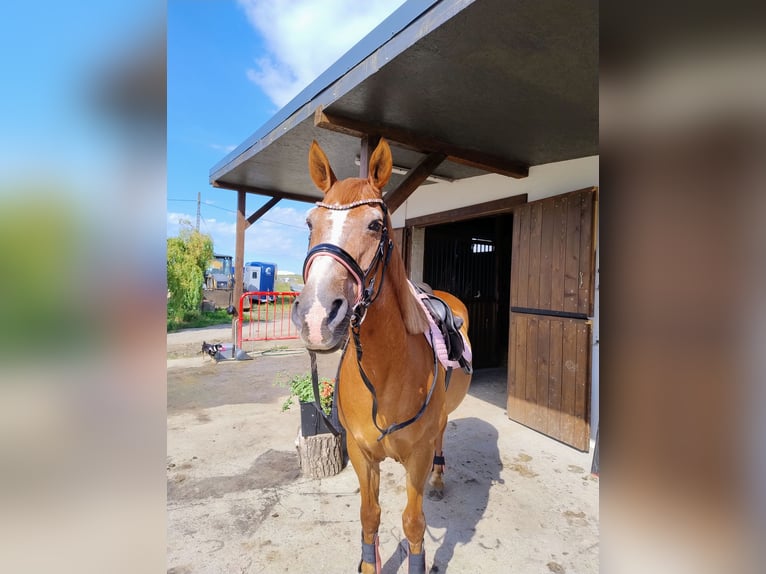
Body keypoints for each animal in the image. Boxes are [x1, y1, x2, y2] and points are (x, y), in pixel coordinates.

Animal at [292, 140, 474, 574]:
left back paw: (439, 480)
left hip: (442, 418)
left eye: (375, 225)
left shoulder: (417, 456)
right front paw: (368, 562)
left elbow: (413, 524)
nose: (316, 317)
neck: (386, 371)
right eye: (309, 223)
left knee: (441, 434)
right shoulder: (362, 455)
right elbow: (369, 516)